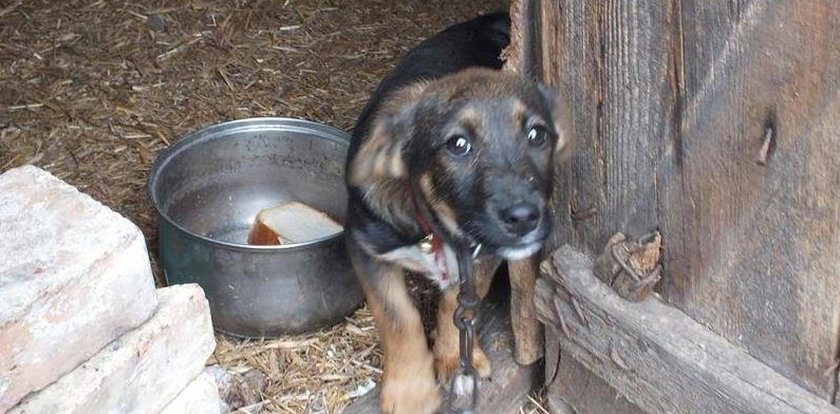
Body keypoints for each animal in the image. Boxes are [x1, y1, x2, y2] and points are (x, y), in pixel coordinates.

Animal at [342, 12, 572, 414]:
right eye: (458, 145)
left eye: (537, 135)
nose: (525, 217)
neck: (437, 226)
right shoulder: (365, 248)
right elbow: (397, 318)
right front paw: (412, 392)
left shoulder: (482, 253)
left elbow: (459, 302)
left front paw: (456, 361)